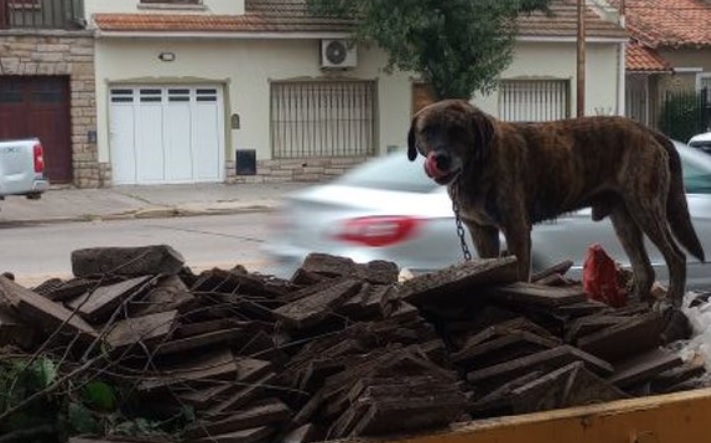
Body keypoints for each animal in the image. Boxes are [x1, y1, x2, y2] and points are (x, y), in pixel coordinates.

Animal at [408, 99, 704, 306]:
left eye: (458, 131)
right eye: (427, 131)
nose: (440, 158)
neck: (477, 164)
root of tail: (648, 130)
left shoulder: (516, 229)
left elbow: (520, 274)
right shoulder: (481, 231)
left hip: (645, 208)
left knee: (676, 257)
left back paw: (671, 301)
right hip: (624, 219)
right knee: (644, 268)